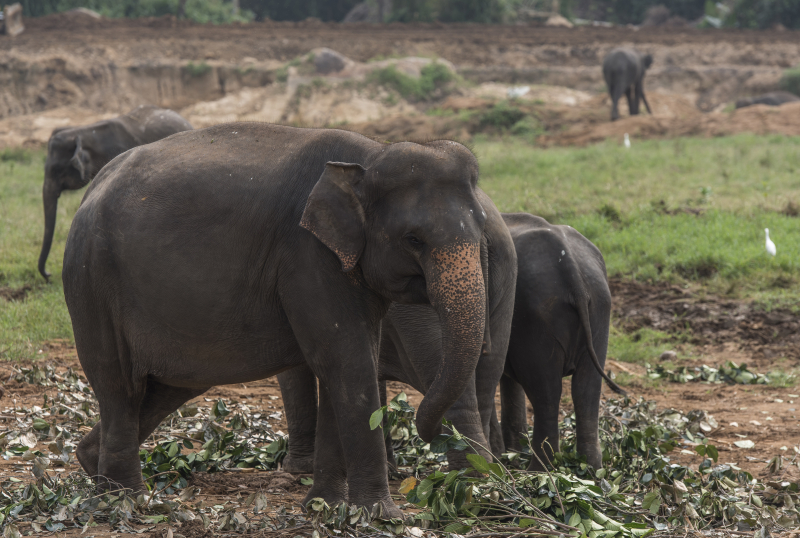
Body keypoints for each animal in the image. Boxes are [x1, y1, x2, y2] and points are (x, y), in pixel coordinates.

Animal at [64, 121, 494, 516]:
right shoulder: (307, 255)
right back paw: (125, 500)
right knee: (120, 384)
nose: (430, 432)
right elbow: (348, 361)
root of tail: (91, 191)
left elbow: (344, 363)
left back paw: (93, 467)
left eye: (483, 230)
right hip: (93, 282)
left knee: (166, 387)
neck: (371, 155)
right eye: (413, 240)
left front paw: (323, 506)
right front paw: (379, 515)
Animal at [280, 189, 520, 474]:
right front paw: (388, 467)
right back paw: (490, 471)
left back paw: (468, 476)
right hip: (504, 279)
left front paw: (295, 469)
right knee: (487, 375)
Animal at [496, 211, 620, 466]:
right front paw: (512, 453)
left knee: (546, 392)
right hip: (601, 305)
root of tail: (574, 274)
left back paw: (538, 471)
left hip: (535, 316)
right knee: (585, 390)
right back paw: (590, 469)